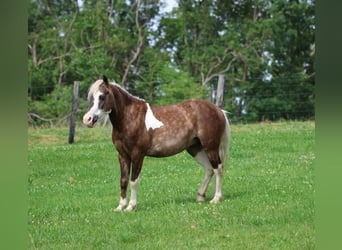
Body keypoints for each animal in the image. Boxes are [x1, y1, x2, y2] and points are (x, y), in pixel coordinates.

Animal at [83, 76, 231, 211]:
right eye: (91, 98)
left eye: (102, 96)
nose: (87, 119)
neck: (130, 117)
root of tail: (219, 110)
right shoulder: (122, 155)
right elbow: (123, 181)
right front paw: (120, 206)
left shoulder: (137, 154)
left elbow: (133, 181)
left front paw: (131, 206)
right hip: (195, 149)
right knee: (209, 169)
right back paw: (200, 196)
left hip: (210, 147)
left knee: (218, 168)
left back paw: (216, 198)